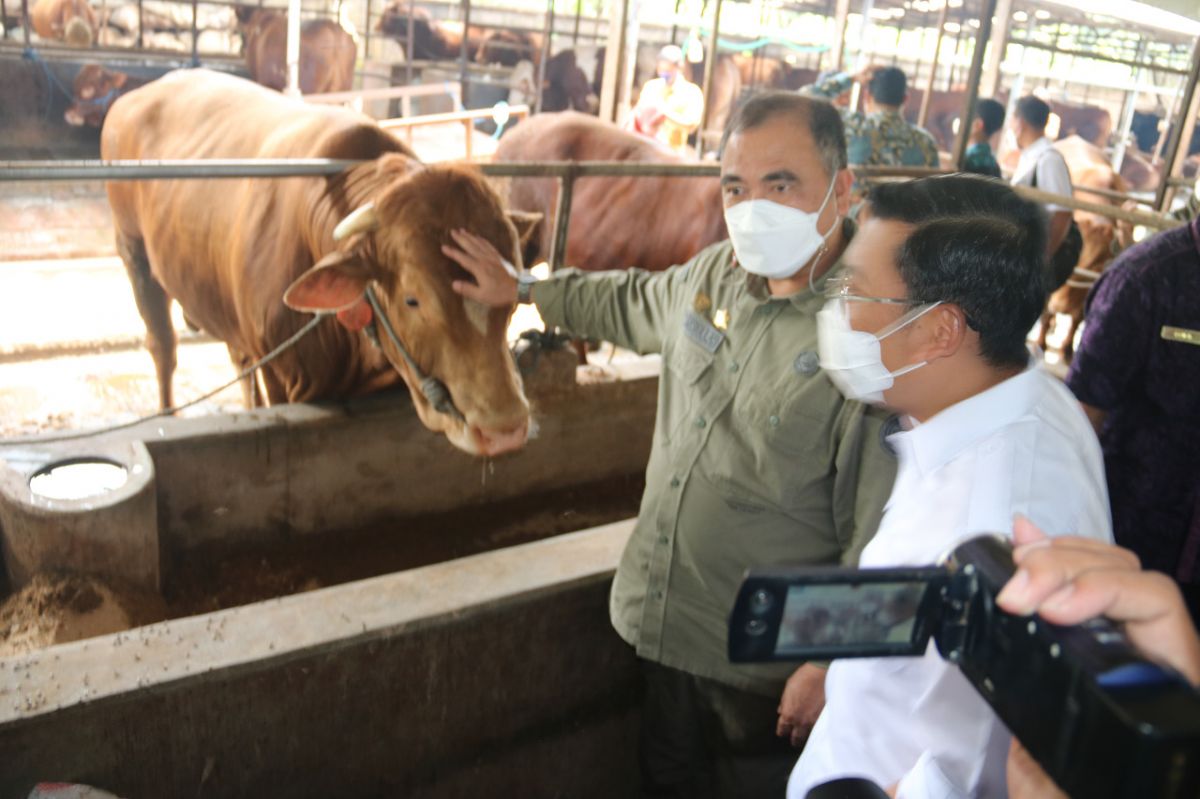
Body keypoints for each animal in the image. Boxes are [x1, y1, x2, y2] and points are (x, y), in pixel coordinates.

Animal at [103, 71, 535, 458]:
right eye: (413, 300)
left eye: (512, 304)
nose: (504, 431)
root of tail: (139, 93)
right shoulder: (281, 373)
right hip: (132, 248)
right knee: (163, 344)